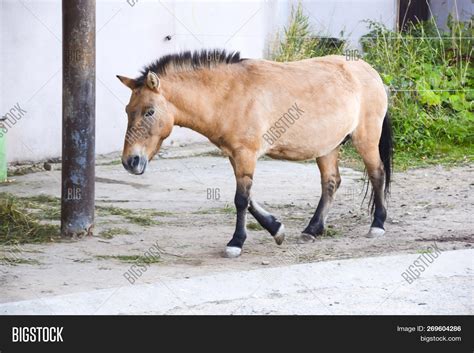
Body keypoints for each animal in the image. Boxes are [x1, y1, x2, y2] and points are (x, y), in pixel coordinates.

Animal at [117, 48, 392, 256]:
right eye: (128, 110)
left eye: (150, 111)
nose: (131, 161)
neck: (229, 94)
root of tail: (369, 71)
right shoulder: (235, 156)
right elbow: (248, 199)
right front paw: (277, 229)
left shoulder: (245, 154)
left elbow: (241, 199)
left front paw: (236, 243)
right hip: (327, 147)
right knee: (331, 183)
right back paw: (312, 230)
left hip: (365, 139)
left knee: (377, 174)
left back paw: (377, 225)